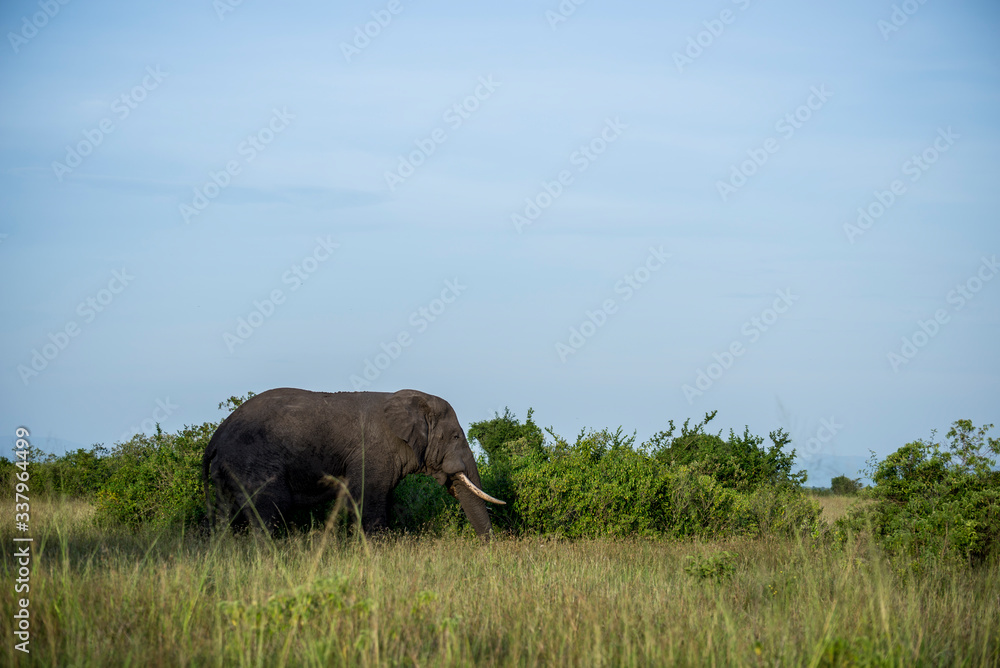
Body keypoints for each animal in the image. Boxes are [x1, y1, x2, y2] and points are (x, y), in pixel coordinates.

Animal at [202, 388, 504, 539]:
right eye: (455, 436)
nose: (488, 548)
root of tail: (216, 437)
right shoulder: (375, 450)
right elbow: (368, 500)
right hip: (252, 462)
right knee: (271, 509)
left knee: (225, 514)